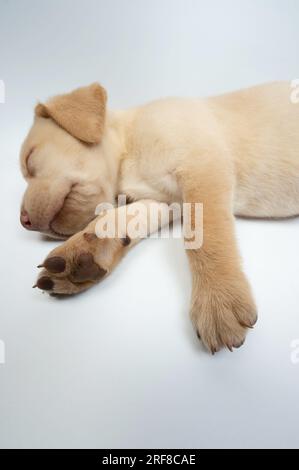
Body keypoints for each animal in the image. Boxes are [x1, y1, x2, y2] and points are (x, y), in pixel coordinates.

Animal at [19, 81, 299, 352]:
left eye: (29, 159)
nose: (24, 221)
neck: (128, 149)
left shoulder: (202, 166)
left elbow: (206, 236)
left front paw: (218, 297)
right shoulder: (164, 201)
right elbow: (119, 218)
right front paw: (82, 253)